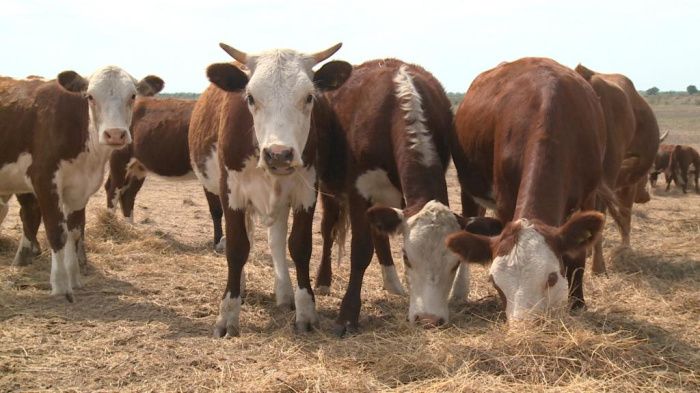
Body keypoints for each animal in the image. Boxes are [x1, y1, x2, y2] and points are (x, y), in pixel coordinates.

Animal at [0, 68, 163, 300]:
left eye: (132, 96)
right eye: (90, 96)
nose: (115, 134)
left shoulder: (80, 190)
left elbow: (74, 232)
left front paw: (74, 278)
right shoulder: (45, 182)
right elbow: (57, 232)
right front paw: (60, 285)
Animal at [102, 97, 224, 248]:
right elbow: (217, 210)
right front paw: (219, 243)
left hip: (139, 167)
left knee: (128, 194)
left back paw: (130, 228)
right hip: (119, 158)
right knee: (113, 189)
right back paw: (110, 226)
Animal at [190, 43, 356, 336]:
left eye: (309, 97)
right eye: (250, 97)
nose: (279, 154)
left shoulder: (306, 192)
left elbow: (299, 246)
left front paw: (305, 310)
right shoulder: (231, 193)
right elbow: (236, 247)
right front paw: (228, 313)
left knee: (276, 241)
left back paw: (284, 293)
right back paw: (243, 286)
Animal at [448, 58, 608, 322]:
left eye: (552, 277)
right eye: (495, 283)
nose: (524, 325)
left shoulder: (589, 195)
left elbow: (577, 255)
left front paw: (578, 304)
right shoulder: (504, 201)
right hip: (469, 190)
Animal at [576, 64, 664, 272]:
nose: (645, 197)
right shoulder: (625, 185)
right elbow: (625, 215)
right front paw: (626, 247)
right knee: (601, 213)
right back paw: (598, 266)